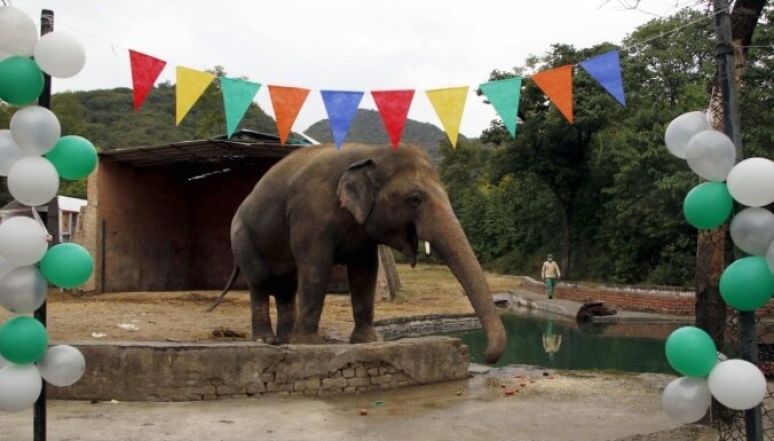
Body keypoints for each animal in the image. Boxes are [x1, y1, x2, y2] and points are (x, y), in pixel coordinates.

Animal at [208, 143, 510, 362]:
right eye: (414, 199)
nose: (485, 355)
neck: (370, 152)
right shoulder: (311, 213)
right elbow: (316, 266)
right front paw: (311, 345)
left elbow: (365, 270)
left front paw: (369, 341)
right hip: (242, 237)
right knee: (260, 282)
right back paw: (267, 341)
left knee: (286, 287)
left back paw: (284, 341)